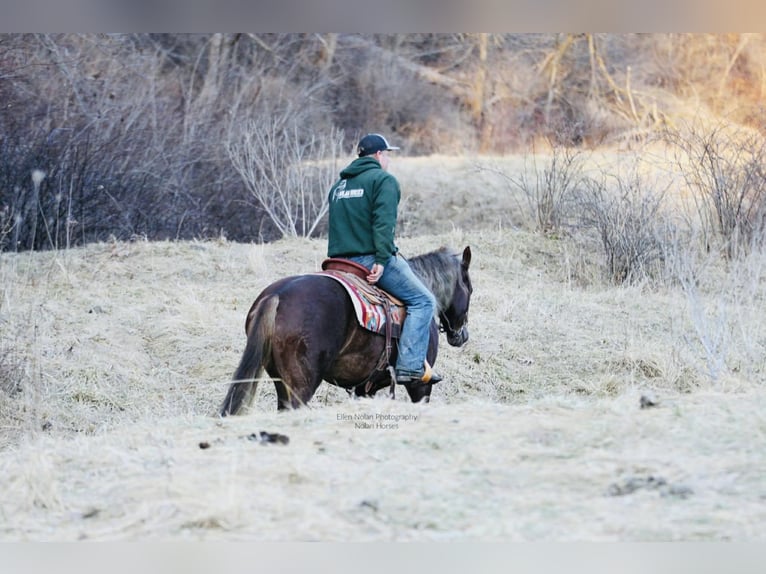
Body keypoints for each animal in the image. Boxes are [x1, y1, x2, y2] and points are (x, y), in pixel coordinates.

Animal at [220, 246, 473, 415]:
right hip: (301, 385)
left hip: (281, 383)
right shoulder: (420, 386)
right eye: (469, 288)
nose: (462, 335)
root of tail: (277, 295)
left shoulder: (364, 389)